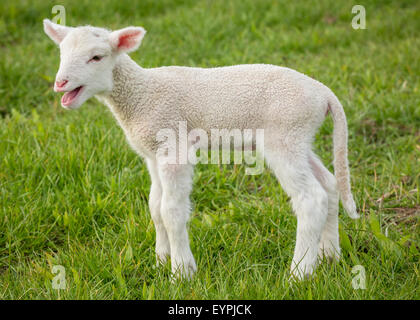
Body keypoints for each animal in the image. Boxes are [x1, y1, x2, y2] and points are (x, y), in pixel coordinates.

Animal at [41, 19, 358, 280]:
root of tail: (324, 93)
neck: (141, 94)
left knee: (311, 198)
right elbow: (155, 207)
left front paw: (181, 272)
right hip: (299, 137)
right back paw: (329, 256)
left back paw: (299, 273)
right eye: (61, 54)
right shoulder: (153, 153)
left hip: (284, 135)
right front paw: (161, 260)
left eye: (96, 57)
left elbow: (171, 211)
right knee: (329, 184)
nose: (60, 83)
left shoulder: (173, 147)